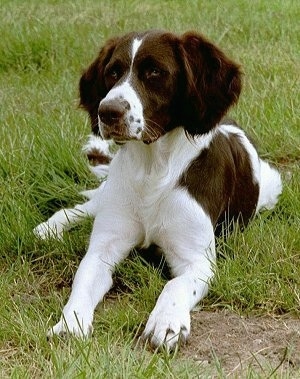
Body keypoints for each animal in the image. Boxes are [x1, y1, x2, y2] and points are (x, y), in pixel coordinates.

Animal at [34, 29, 282, 350]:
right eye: (113, 71)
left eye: (154, 72)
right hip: (110, 193)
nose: (107, 112)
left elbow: (175, 284)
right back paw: (48, 230)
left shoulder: (197, 261)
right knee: (79, 207)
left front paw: (167, 323)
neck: (152, 169)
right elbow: (83, 281)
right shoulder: (103, 247)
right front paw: (69, 324)